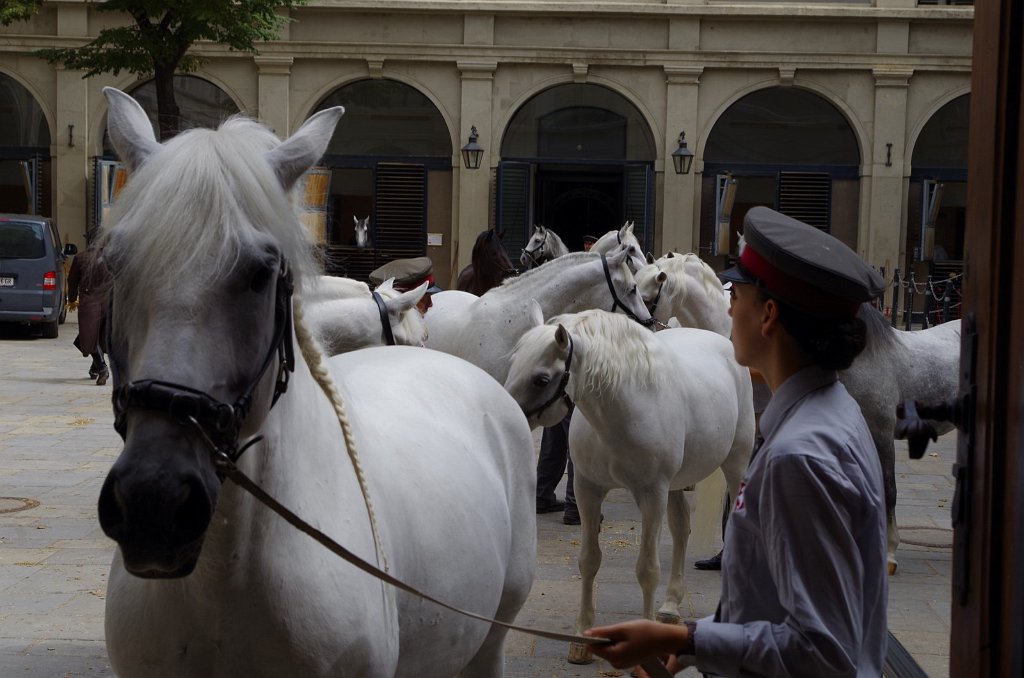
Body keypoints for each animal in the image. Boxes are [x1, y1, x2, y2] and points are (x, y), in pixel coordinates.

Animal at [503, 311, 753, 663]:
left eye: (540, 379)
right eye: (512, 363)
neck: (620, 413)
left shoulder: (651, 494)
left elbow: (647, 569)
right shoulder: (588, 490)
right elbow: (589, 561)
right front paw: (582, 638)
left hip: (735, 464)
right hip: (674, 486)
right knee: (681, 529)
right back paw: (669, 606)